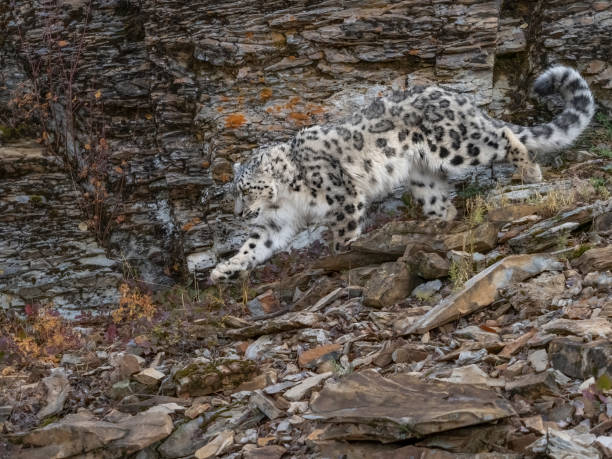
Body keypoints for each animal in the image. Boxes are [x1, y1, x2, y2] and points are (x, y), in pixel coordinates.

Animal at [209, 66, 592, 282]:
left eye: (247, 190)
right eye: (236, 192)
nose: (239, 213)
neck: (285, 199)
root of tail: (458, 97)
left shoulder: (343, 196)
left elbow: (343, 233)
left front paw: (340, 256)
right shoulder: (276, 224)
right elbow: (255, 245)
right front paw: (224, 269)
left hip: (456, 146)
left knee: (504, 136)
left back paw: (529, 170)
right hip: (424, 177)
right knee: (443, 202)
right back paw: (435, 227)